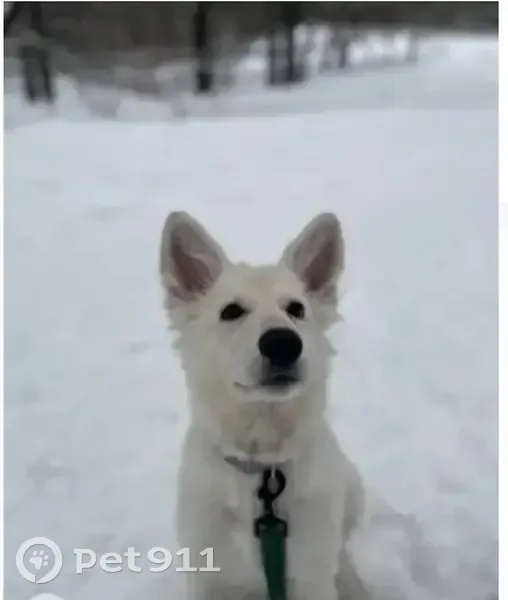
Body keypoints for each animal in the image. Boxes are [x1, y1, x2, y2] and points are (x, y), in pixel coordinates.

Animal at [161, 212, 372, 600]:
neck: (261, 467)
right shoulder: (205, 574)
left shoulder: (311, 577)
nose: (284, 343)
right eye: (231, 311)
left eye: (296, 309)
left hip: (350, 490)